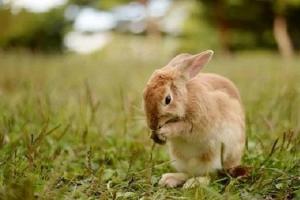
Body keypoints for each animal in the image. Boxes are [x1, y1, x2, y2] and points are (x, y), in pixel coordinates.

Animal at [142, 50, 245, 188]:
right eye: (144, 94)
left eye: (168, 99)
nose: (152, 125)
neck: (186, 99)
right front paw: (153, 135)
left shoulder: (197, 122)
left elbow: (182, 127)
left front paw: (164, 131)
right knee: (189, 172)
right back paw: (169, 179)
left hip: (216, 153)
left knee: (211, 174)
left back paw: (193, 183)